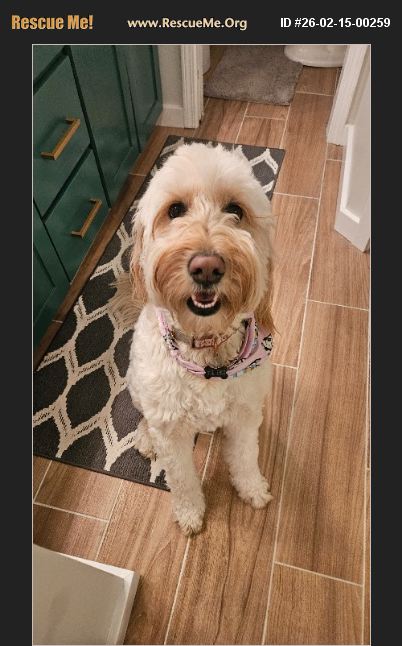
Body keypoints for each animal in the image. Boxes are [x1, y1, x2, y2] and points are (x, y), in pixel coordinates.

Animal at [123, 142, 275, 535]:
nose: (206, 266)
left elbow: (245, 457)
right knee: (143, 415)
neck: (206, 353)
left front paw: (252, 488)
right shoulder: (172, 432)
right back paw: (144, 437)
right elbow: (182, 478)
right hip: (136, 384)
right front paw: (190, 512)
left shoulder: (245, 415)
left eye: (235, 210)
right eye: (175, 210)